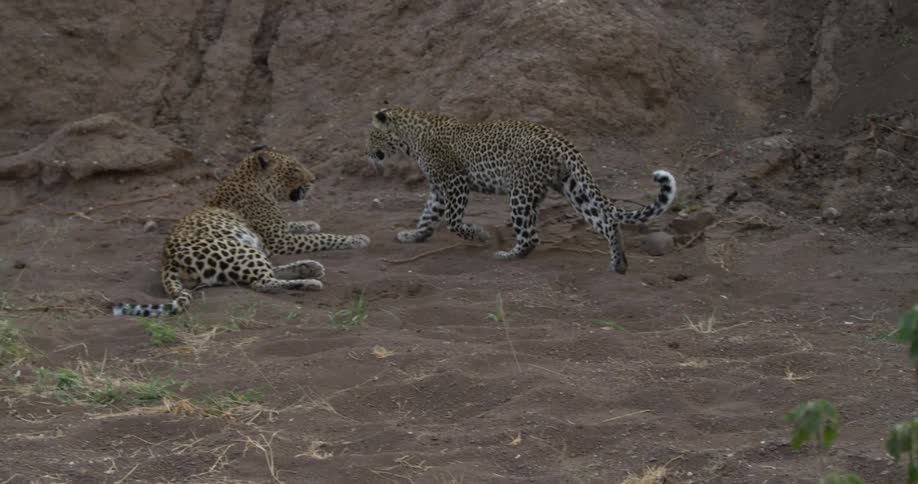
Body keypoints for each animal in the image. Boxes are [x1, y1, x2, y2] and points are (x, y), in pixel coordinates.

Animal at [112, 146, 371, 317]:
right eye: (295, 170)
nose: (314, 179)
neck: (252, 182)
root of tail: (167, 262)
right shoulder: (280, 240)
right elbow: (323, 237)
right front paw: (356, 238)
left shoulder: (276, 232)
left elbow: (299, 226)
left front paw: (311, 223)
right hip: (238, 249)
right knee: (262, 283)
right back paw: (309, 281)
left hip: (245, 252)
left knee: (265, 273)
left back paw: (309, 267)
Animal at [366, 107, 676, 274]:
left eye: (371, 136)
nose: (368, 154)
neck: (410, 138)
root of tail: (560, 140)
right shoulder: (439, 189)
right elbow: (428, 216)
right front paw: (414, 235)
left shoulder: (455, 183)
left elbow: (453, 221)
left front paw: (481, 235)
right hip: (573, 188)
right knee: (608, 221)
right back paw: (618, 264)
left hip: (520, 193)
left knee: (531, 236)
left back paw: (508, 255)